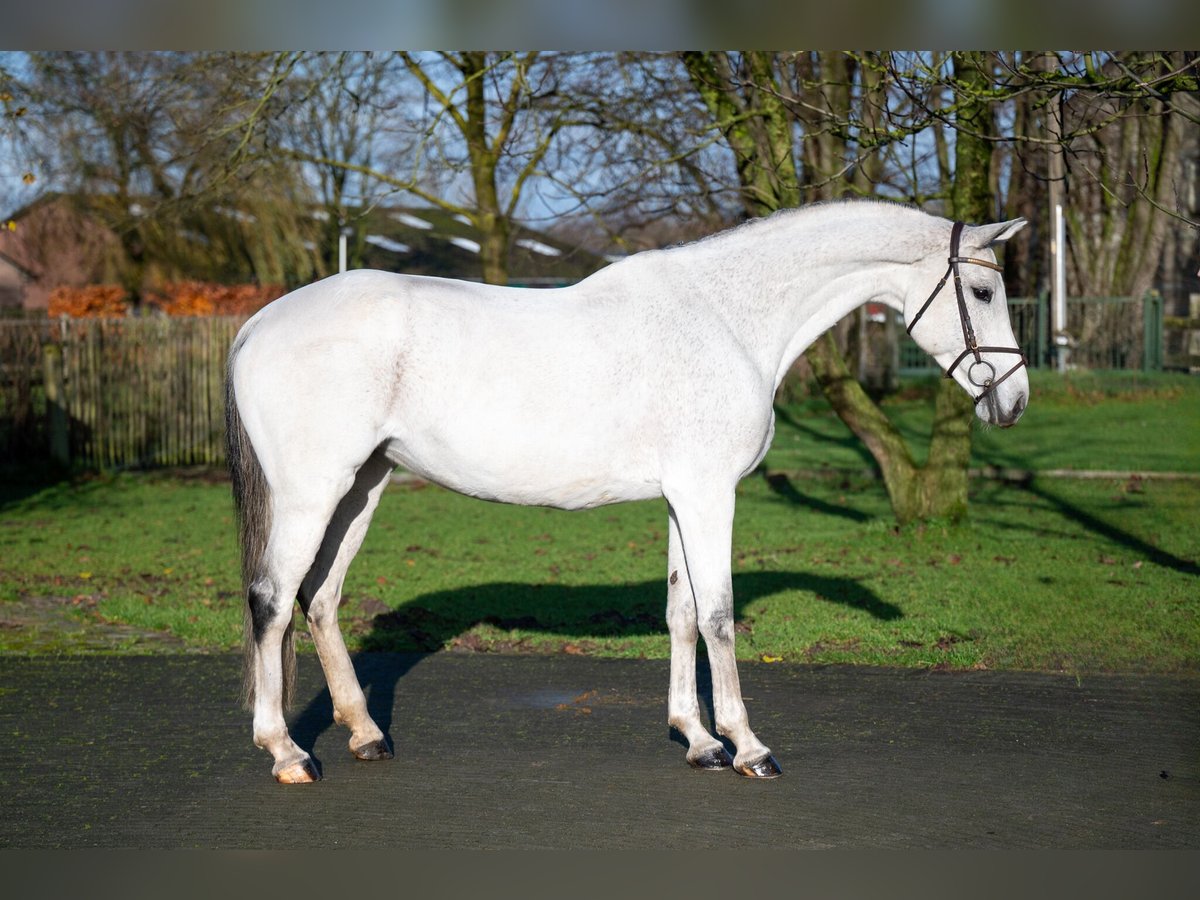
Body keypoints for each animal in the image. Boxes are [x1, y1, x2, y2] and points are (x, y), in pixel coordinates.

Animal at [226, 200, 1032, 787]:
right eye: (984, 290)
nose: (1015, 401)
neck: (727, 318)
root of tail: (259, 323)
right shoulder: (710, 493)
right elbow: (719, 616)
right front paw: (747, 747)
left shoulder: (683, 496)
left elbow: (681, 614)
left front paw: (697, 740)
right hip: (314, 490)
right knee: (272, 600)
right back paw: (286, 752)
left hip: (363, 486)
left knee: (321, 598)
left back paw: (365, 734)